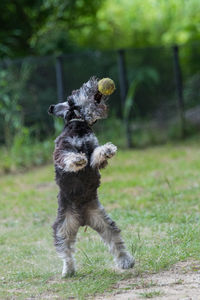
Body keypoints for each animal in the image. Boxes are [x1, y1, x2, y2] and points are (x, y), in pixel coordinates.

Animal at [48, 77, 134, 276]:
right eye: (81, 89)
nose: (95, 82)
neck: (79, 124)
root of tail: (82, 219)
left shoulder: (93, 155)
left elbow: (96, 153)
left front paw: (108, 149)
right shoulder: (61, 150)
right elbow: (69, 156)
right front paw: (78, 159)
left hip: (103, 221)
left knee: (115, 241)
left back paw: (125, 261)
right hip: (62, 227)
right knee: (65, 250)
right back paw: (68, 270)